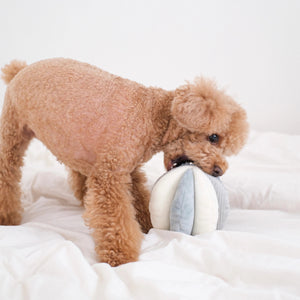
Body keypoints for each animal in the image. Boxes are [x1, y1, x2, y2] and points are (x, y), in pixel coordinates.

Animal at [0, 58, 248, 268]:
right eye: (214, 137)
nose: (219, 170)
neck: (153, 115)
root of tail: (20, 70)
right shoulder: (110, 175)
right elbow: (116, 218)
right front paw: (120, 256)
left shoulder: (128, 171)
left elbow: (139, 200)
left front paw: (148, 225)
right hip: (12, 133)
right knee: (7, 172)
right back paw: (7, 217)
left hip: (74, 142)